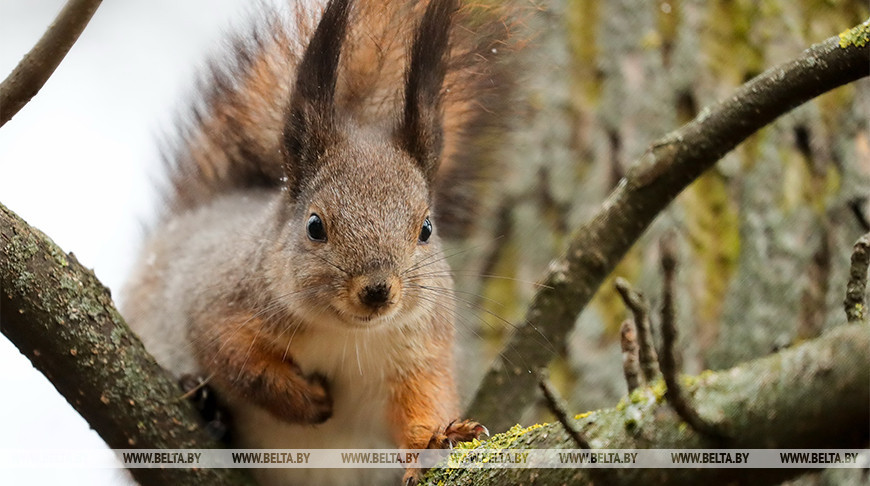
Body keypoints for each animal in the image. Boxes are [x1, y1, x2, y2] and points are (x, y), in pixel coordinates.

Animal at [124, 0, 516, 484]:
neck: (345, 333)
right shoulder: (218, 303)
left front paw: (434, 441)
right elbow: (236, 360)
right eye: (315, 226)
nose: (377, 290)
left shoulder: (422, 351)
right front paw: (307, 401)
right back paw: (207, 408)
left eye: (426, 228)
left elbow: (423, 401)